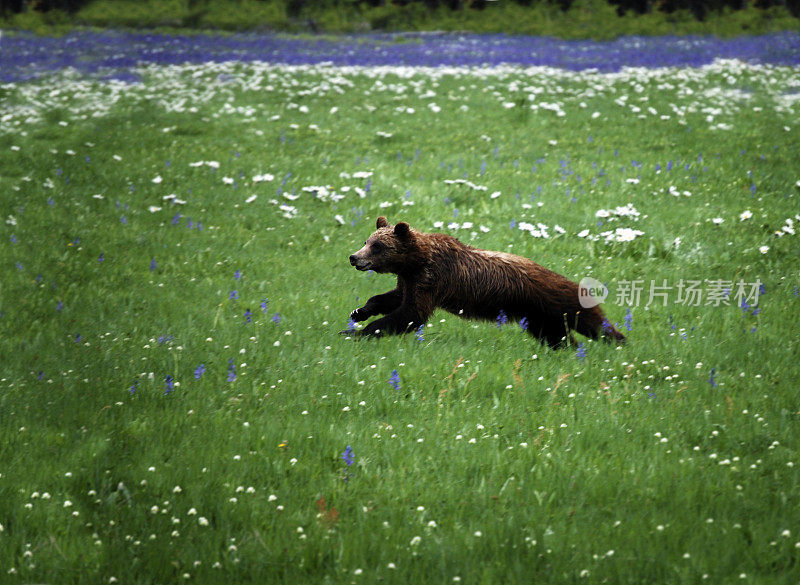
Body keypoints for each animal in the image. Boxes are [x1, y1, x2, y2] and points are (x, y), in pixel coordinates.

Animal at [346, 218, 628, 346]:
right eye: (366, 241)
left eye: (378, 246)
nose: (354, 257)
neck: (416, 261)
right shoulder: (410, 279)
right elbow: (393, 298)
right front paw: (359, 312)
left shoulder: (431, 279)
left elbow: (411, 313)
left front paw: (360, 331)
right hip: (537, 315)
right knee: (556, 336)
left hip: (557, 300)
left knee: (593, 323)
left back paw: (618, 341)